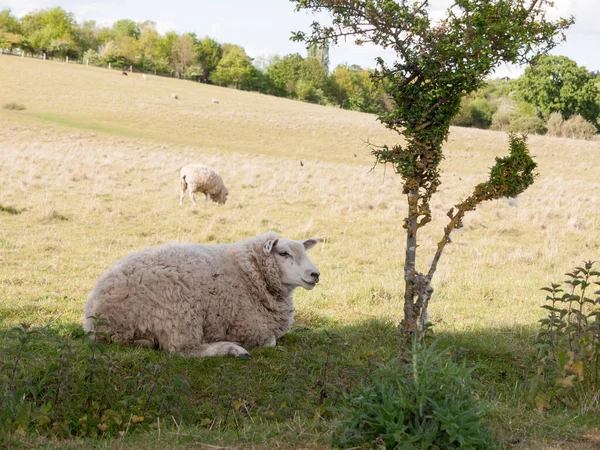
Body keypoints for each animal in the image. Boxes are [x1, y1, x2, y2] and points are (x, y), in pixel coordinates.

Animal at [83, 234, 324, 356]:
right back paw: (233, 349)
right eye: (283, 253)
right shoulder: (249, 327)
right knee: (182, 350)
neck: (248, 272)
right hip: (177, 310)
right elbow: (271, 342)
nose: (315, 274)